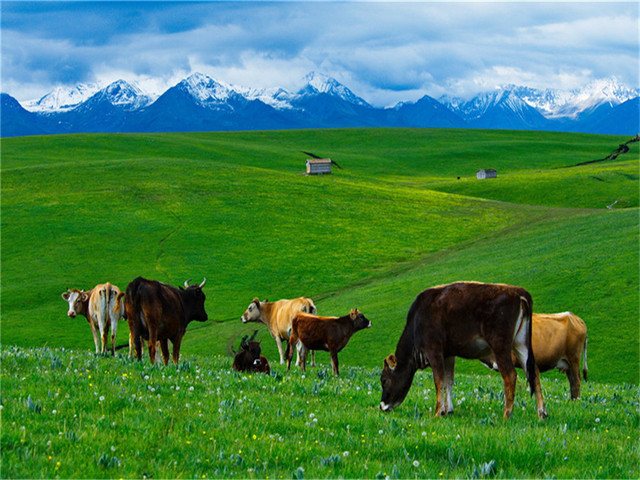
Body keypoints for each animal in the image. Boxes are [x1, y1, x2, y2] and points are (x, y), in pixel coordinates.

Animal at [382, 284, 548, 418]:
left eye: (384, 380)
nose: (382, 406)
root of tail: (518, 292)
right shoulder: (448, 354)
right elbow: (448, 381)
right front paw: (448, 410)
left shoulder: (434, 350)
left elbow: (439, 380)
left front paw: (438, 412)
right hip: (521, 344)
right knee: (533, 372)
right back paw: (542, 413)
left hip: (500, 345)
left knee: (510, 375)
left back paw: (507, 414)